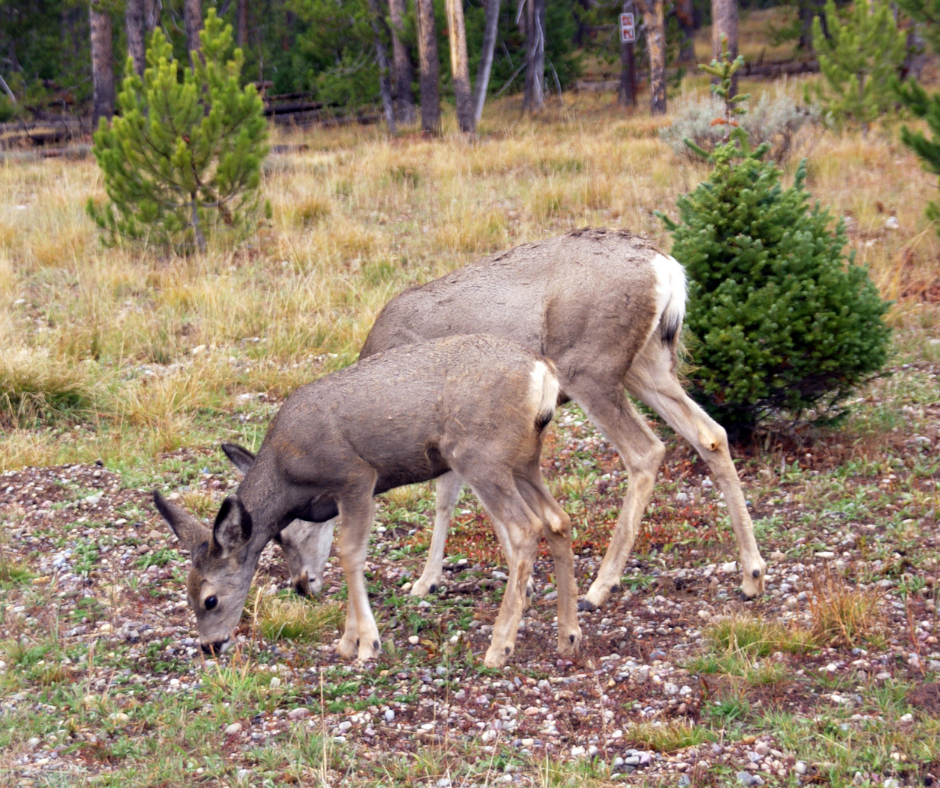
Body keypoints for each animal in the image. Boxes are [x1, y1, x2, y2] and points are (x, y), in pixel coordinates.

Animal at [154, 334, 582, 668]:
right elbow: (350, 554)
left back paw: (499, 647)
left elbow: (350, 554)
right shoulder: (351, 492)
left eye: (209, 600)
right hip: (522, 460)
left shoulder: (356, 476)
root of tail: (542, 372)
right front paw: (349, 640)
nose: (210, 646)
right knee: (558, 520)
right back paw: (569, 633)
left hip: (480, 455)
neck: (288, 473)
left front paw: (365, 644)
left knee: (525, 528)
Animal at [252, 228, 767, 611]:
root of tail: (667, 268)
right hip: (648, 362)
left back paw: (600, 588)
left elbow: (460, 500)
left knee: (646, 451)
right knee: (711, 434)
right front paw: (429, 581)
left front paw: (511, 582)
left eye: (287, 529)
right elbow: (447, 498)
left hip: (590, 364)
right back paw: (752, 575)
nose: (301, 586)